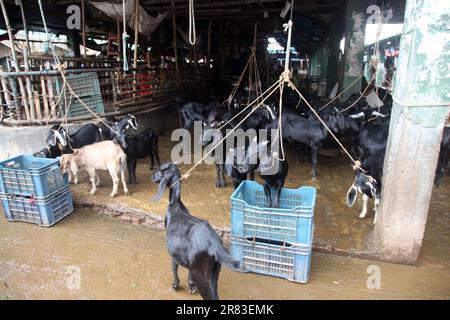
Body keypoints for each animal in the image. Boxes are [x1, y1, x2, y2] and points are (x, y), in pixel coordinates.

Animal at [151, 162, 241, 300]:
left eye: (160, 169)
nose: (152, 176)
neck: (176, 205)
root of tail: (214, 245)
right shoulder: (190, 264)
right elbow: (189, 273)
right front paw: (191, 285)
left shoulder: (173, 254)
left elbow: (174, 269)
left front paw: (175, 285)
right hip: (214, 274)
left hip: (202, 275)